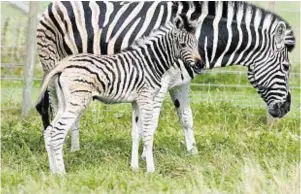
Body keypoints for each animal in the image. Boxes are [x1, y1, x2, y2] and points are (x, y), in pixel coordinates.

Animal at [35, 1, 296, 156]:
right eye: (285, 67)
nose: (286, 108)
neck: (199, 40)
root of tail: (55, 3)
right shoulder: (157, 84)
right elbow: (151, 121)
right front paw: (144, 155)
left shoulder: (182, 82)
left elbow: (186, 118)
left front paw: (193, 152)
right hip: (52, 62)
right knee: (54, 106)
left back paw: (74, 148)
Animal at [36, 15, 203, 173]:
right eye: (182, 45)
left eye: (196, 43)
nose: (200, 65)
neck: (150, 62)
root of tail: (63, 65)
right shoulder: (146, 98)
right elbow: (147, 132)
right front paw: (150, 170)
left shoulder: (136, 101)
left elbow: (136, 133)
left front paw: (134, 167)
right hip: (77, 101)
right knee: (58, 132)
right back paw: (61, 173)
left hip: (65, 102)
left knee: (49, 130)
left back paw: (53, 171)